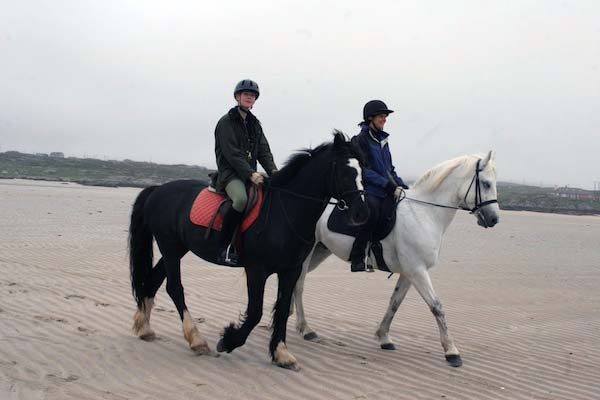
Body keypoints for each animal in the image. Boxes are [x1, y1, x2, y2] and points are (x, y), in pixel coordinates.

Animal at [129, 133, 368, 370]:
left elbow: (282, 309)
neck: (285, 211)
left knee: (153, 281)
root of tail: (158, 189)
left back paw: (145, 328)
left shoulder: (290, 270)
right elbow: (255, 312)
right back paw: (196, 340)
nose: (361, 213)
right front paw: (228, 341)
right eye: (345, 172)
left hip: (177, 248)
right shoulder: (257, 270)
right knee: (174, 288)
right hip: (169, 247)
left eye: (363, 171)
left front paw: (281, 353)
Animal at [292, 152, 500, 368]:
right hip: (307, 253)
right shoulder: (417, 271)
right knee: (299, 285)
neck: (424, 214)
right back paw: (306, 329)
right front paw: (451, 352)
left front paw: (384, 337)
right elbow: (437, 307)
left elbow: (395, 303)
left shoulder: (409, 273)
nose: (494, 219)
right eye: (486, 184)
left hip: (319, 251)